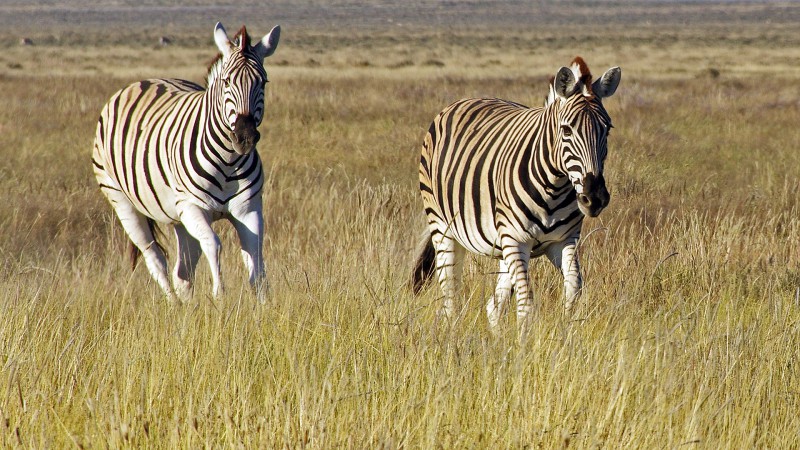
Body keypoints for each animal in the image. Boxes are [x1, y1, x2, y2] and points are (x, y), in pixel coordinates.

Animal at [92, 22, 282, 300]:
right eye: (227, 81)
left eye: (264, 82)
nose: (245, 137)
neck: (228, 161)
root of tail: (142, 82)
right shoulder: (192, 206)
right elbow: (214, 244)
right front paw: (219, 295)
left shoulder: (248, 208)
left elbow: (255, 253)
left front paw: (263, 301)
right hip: (123, 201)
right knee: (155, 258)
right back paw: (172, 304)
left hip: (178, 218)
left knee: (183, 271)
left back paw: (185, 305)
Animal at [410, 57, 620, 334]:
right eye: (566, 130)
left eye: (607, 130)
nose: (594, 197)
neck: (554, 186)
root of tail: (462, 101)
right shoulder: (516, 240)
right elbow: (527, 306)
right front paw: (526, 343)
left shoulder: (563, 241)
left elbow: (574, 289)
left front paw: (566, 332)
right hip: (444, 228)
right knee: (451, 299)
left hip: (504, 245)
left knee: (492, 307)